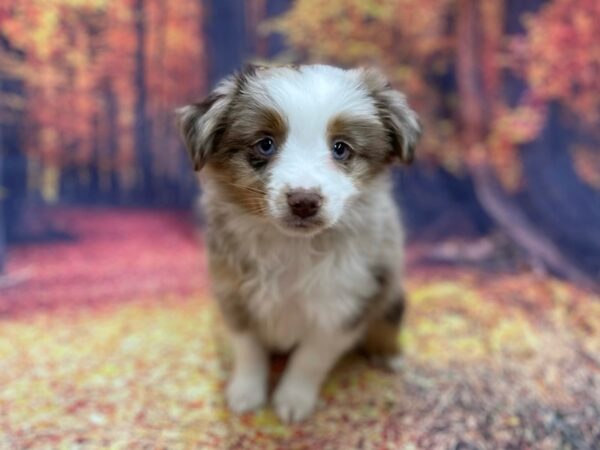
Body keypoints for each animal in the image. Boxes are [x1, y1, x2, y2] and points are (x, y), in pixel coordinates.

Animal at [177, 63, 422, 422]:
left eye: (341, 148)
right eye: (265, 144)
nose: (304, 202)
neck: (292, 246)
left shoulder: (344, 305)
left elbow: (310, 359)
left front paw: (293, 400)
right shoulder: (234, 293)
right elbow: (248, 349)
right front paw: (246, 393)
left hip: (390, 294)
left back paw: (388, 354)